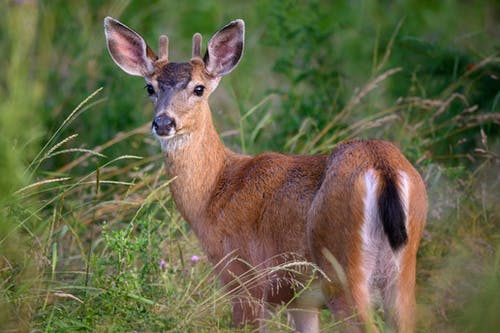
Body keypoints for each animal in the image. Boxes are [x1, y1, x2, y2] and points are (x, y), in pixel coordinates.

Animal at [104, 16, 426, 332]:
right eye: (149, 88)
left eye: (199, 88)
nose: (163, 123)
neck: (213, 194)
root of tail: (382, 167)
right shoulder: (299, 301)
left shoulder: (244, 279)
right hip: (400, 271)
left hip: (341, 268)